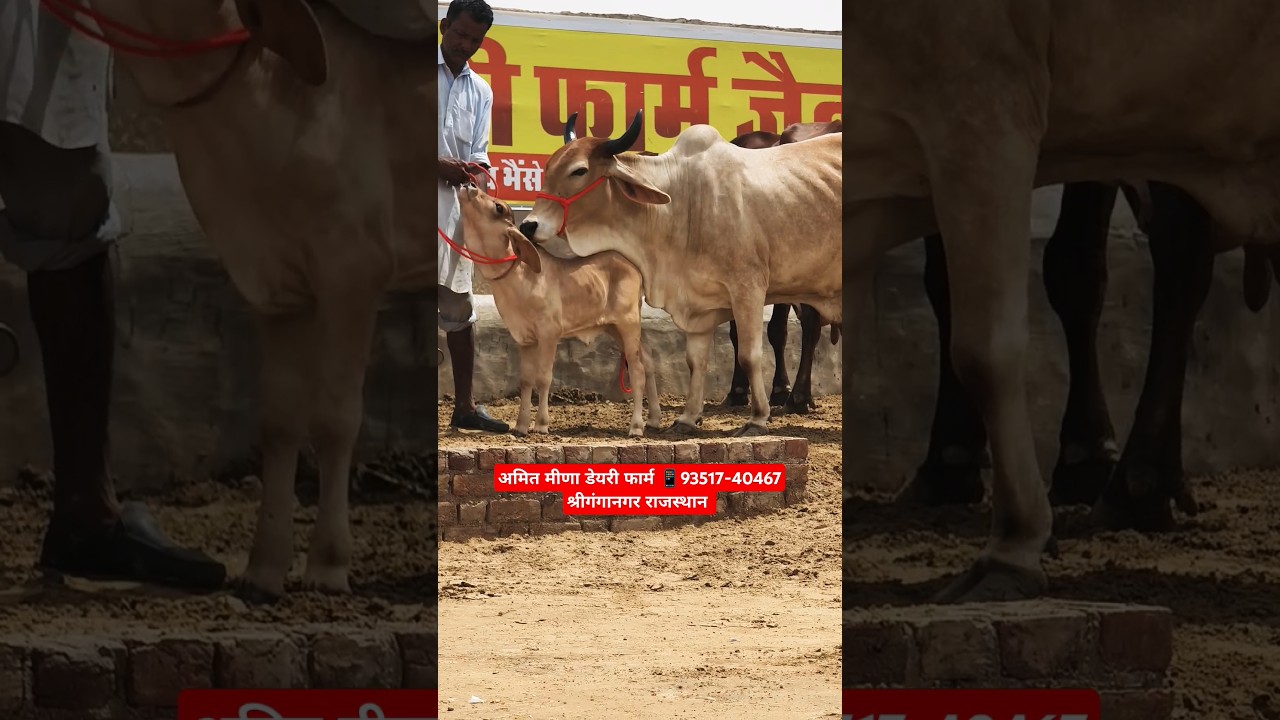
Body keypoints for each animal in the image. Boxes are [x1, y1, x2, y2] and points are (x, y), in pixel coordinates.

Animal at [74, 0, 439, 602]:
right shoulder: (274, 287)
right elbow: (279, 420)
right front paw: (264, 569)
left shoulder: (353, 269)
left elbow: (335, 417)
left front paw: (327, 566)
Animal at [454, 183, 663, 437]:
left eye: (498, 207)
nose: (469, 185)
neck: (519, 278)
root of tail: (634, 266)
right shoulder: (524, 338)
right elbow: (526, 380)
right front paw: (521, 425)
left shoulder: (549, 333)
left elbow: (544, 377)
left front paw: (541, 424)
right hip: (614, 327)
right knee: (648, 360)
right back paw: (653, 419)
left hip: (628, 323)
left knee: (638, 370)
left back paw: (636, 426)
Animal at [518, 111, 842, 438]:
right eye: (548, 167)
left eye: (579, 171)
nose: (529, 225)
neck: (684, 202)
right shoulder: (697, 301)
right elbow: (695, 361)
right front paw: (687, 417)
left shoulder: (748, 288)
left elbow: (749, 355)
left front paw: (758, 418)